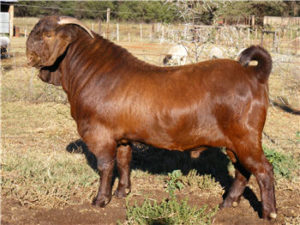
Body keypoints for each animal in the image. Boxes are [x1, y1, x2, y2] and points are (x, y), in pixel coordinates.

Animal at [26, 16, 276, 220]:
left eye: (47, 35)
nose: (29, 55)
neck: (93, 73)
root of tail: (254, 74)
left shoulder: (100, 133)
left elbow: (105, 165)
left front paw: (100, 200)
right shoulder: (123, 136)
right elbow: (124, 160)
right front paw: (122, 192)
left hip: (245, 136)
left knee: (263, 169)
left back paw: (269, 213)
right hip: (234, 141)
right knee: (242, 170)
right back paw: (228, 202)